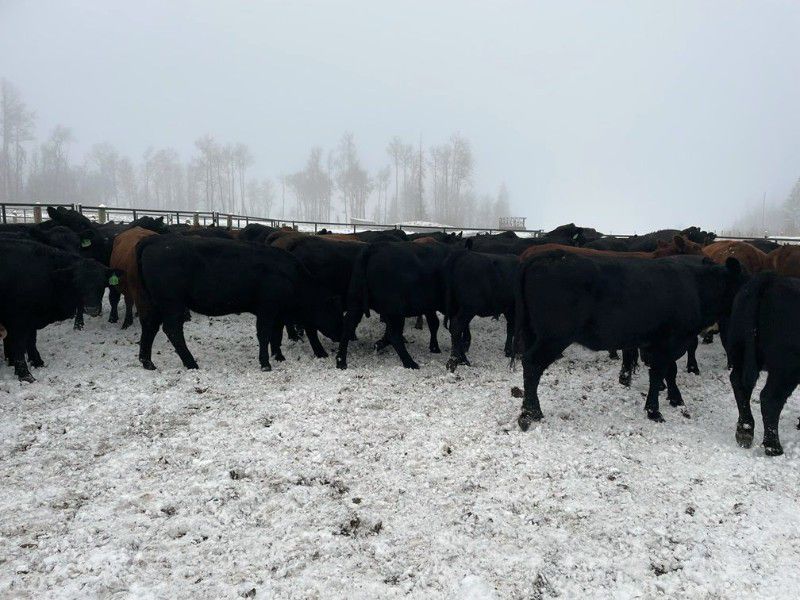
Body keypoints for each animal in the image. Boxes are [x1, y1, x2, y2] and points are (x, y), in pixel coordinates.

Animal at [0, 239, 120, 381]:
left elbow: (31, 341)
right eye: (77, 283)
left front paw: (37, 362)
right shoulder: (18, 320)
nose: (92, 309)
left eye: (102, 283)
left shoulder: (31, 319)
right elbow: (19, 346)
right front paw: (25, 375)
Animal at [135, 235, 343, 371]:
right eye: (334, 311)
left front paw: (279, 357)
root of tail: (154, 240)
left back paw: (148, 362)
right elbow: (264, 335)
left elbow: (276, 335)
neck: (292, 278)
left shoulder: (277, 313)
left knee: (150, 327)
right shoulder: (267, 309)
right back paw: (191, 363)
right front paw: (265, 364)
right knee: (172, 330)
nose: (341, 334)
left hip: (155, 303)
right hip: (172, 303)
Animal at [514, 251, 745, 429]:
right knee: (532, 364)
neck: (696, 288)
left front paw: (675, 398)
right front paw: (654, 411)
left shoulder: (660, 343)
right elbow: (659, 374)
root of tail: (547, 255)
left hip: (537, 333)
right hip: (554, 337)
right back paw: (531, 413)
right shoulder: (670, 341)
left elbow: (669, 372)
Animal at [727, 273, 800, 456]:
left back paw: (745, 431)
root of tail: (770, 278)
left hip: (740, 349)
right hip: (786, 368)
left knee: (740, 384)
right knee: (770, 398)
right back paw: (773, 446)